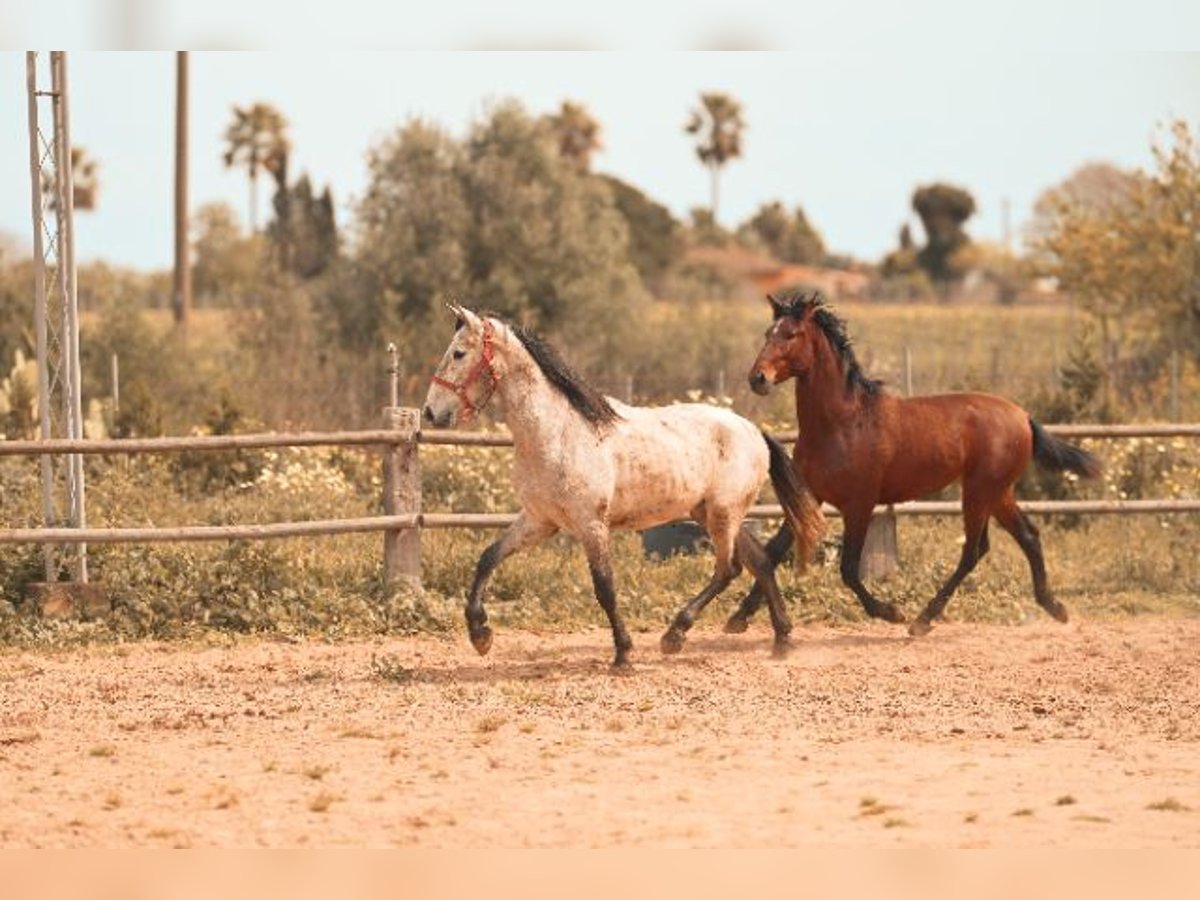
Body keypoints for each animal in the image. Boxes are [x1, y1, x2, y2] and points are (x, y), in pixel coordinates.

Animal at [422, 303, 824, 668]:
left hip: (723, 514)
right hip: (712, 513)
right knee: (760, 562)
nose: (430, 413)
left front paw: (623, 654)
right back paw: (781, 640)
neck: (556, 432)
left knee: (729, 570)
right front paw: (480, 635)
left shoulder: (591, 525)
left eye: (458, 353)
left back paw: (675, 635)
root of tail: (754, 431)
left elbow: (605, 588)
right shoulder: (539, 520)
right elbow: (488, 557)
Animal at [729, 290, 1102, 637]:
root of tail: (1023, 416)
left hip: (980, 491)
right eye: (768, 332)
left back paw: (921, 620)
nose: (757, 378)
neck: (843, 423)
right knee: (1027, 536)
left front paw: (890, 612)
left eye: (791, 334)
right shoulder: (811, 494)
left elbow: (848, 568)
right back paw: (1054, 607)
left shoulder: (860, 504)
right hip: (997, 492)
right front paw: (738, 617)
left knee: (974, 550)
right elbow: (773, 552)